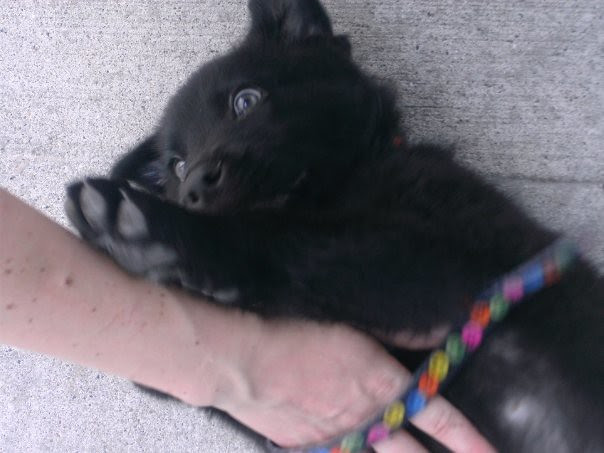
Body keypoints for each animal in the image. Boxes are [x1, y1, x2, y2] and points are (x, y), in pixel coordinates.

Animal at [65, 0, 604, 451]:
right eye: (176, 165)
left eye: (246, 100)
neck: (342, 185)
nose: (194, 184)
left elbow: (288, 243)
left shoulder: (448, 260)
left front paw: (145, 229)